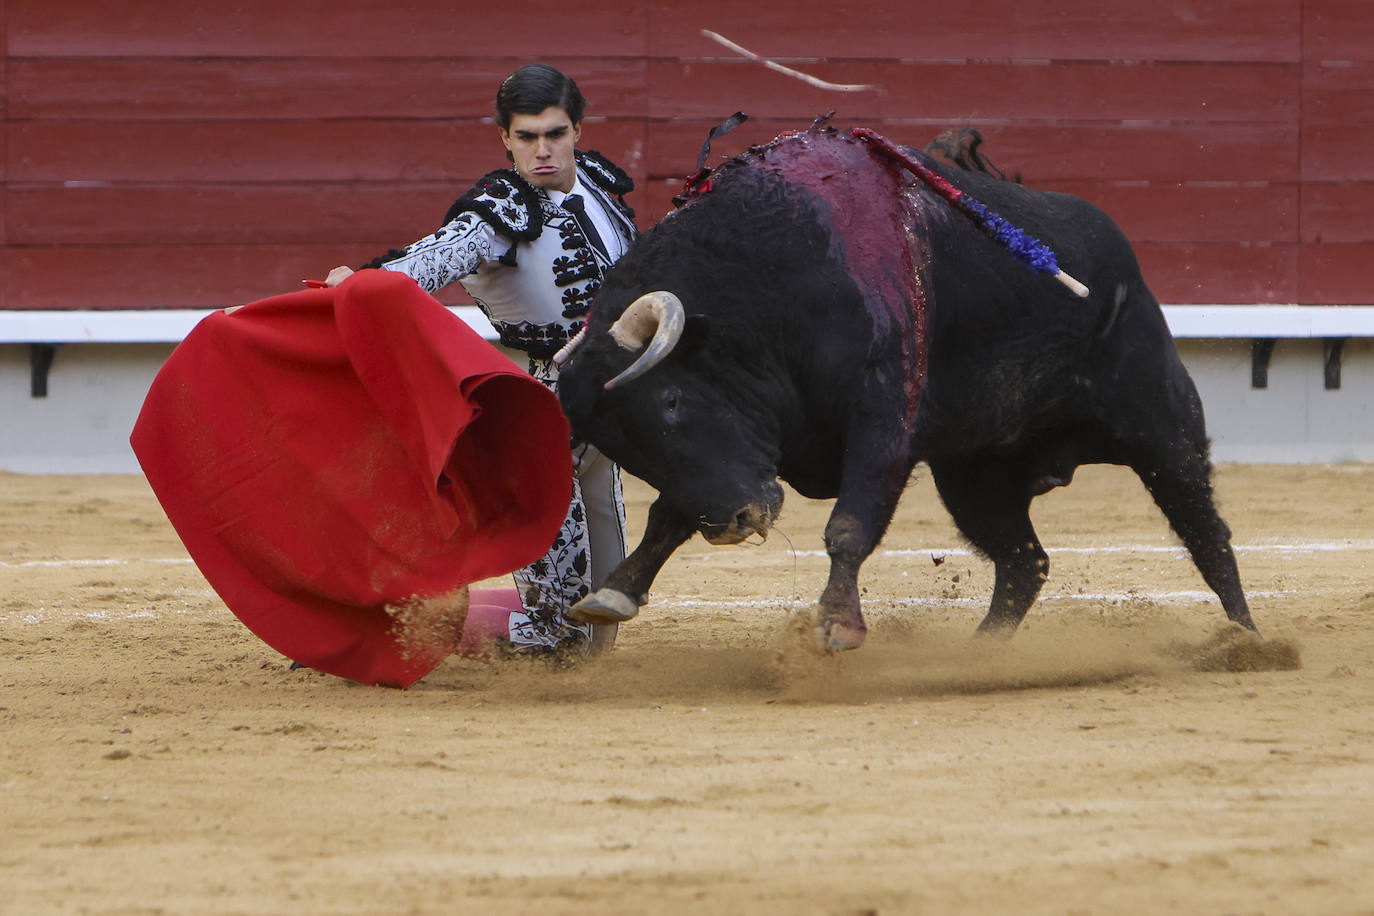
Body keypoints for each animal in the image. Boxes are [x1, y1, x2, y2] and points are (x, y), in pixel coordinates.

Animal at [555, 123, 1258, 650]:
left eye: (672, 402)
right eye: (625, 450)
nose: (734, 524)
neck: (767, 278)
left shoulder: (882, 418)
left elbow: (848, 525)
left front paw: (837, 627)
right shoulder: (747, 452)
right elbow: (669, 513)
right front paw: (612, 593)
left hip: (1159, 421)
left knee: (1203, 527)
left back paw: (1246, 641)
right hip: (973, 474)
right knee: (1024, 562)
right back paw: (982, 653)